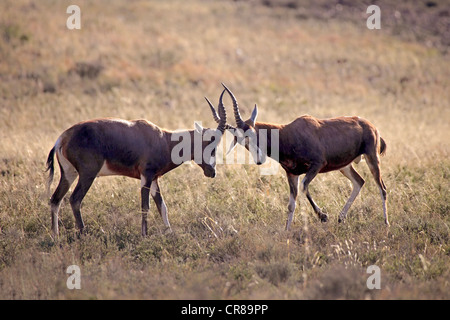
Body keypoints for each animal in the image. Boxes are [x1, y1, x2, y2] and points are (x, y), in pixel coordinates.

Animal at [46, 90, 227, 238]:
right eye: (210, 144)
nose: (212, 172)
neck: (162, 138)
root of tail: (62, 138)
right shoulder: (146, 175)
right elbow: (145, 206)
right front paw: (144, 236)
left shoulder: (154, 179)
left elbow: (162, 206)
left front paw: (170, 233)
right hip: (87, 174)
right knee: (75, 199)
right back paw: (84, 234)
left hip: (69, 174)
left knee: (55, 199)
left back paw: (55, 236)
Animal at [213, 84, 388, 230]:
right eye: (241, 141)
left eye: (253, 133)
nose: (259, 160)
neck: (289, 133)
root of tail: (370, 125)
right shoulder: (292, 174)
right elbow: (291, 204)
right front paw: (287, 230)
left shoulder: (317, 165)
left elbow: (304, 187)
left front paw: (323, 216)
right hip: (345, 166)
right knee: (359, 182)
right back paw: (341, 218)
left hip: (372, 158)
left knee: (382, 188)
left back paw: (386, 223)